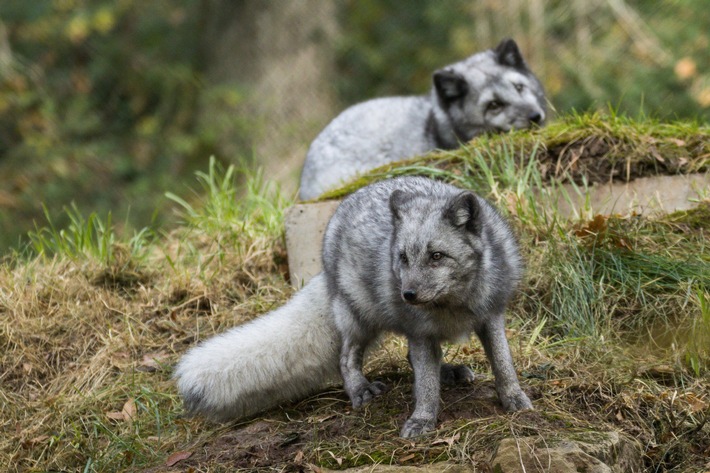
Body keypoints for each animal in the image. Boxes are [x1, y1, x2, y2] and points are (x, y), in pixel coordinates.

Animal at [177, 175, 536, 436]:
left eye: (436, 256)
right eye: (403, 258)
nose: (407, 294)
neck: (453, 306)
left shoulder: (490, 317)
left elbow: (503, 363)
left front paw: (514, 398)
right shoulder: (420, 332)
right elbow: (425, 386)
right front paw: (422, 419)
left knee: (411, 358)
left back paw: (448, 372)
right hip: (360, 320)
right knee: (346, 358)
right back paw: (359, 390)